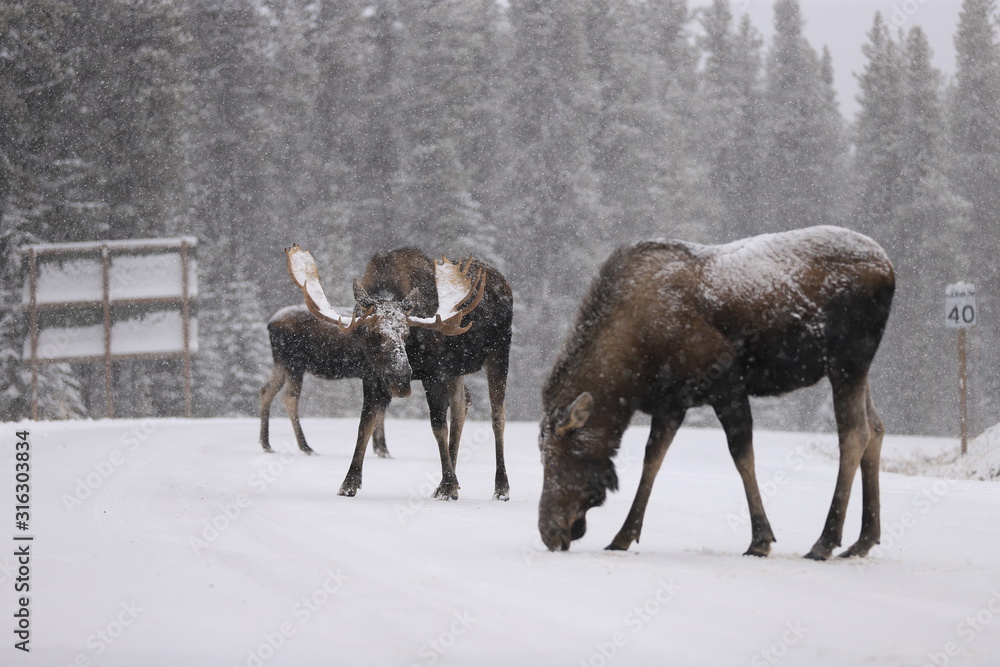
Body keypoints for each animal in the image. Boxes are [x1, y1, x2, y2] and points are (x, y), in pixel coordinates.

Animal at [285, 245, 513, 501]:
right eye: (373, 334)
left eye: (406, 333)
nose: (402, 377)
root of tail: (504, 283)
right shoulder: (372, 376)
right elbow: (365, 425)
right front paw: (349, 483)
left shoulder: (434, 373)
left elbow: (438, 426)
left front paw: (449, 485)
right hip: (456, 371)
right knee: (461, 409)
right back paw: (447, 483)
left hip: (498, 353)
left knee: (497, 415)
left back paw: (500, 487)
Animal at [537, 225, 895, 560]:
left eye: (555, 459)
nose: (548, 532)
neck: (633, 365)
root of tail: (889, 268)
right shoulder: (671, 403)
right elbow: (652, 460)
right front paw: (623, 536)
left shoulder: (726, 384)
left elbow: (742, 455)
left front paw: (760, 539)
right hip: (854, 368)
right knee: (876, 427)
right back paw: (863, 540)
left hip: (847, 360)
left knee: (854, 433)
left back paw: (825, 541)